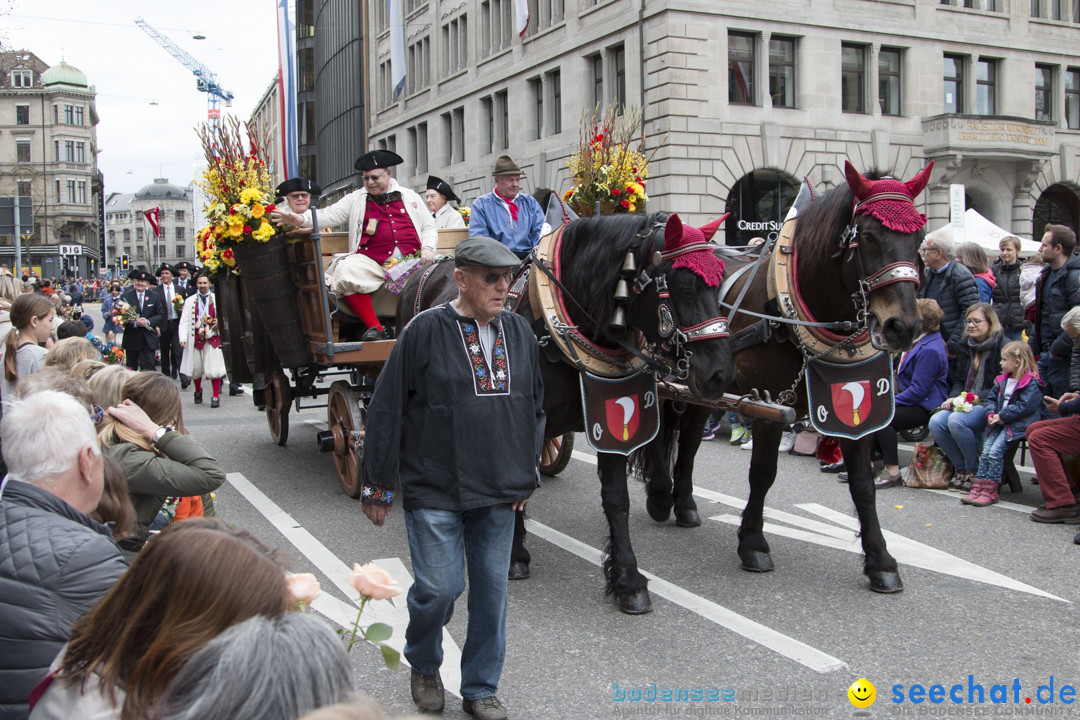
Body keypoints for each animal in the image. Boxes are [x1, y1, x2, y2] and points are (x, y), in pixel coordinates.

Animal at [401, 212, 738, 613]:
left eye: (718, 282)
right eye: (685, 286)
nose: (720, 375)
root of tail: (427, 268)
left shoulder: (606, 419)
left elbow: (617, 500)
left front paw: (627, 579)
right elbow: (517, 487)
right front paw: (514, 556)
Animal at [639, 160, 928, 595]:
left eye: (920, 237)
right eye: (869, 235)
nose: (903, 327)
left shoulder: (858, 410)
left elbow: (862, 483)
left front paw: (880, 560)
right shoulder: (768, 406)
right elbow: (762, 474)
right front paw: (753, 543)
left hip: (704, 387)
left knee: (688, 441)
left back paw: (684, 503)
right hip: (670, 377)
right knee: (663, 433)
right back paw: (659, 496)